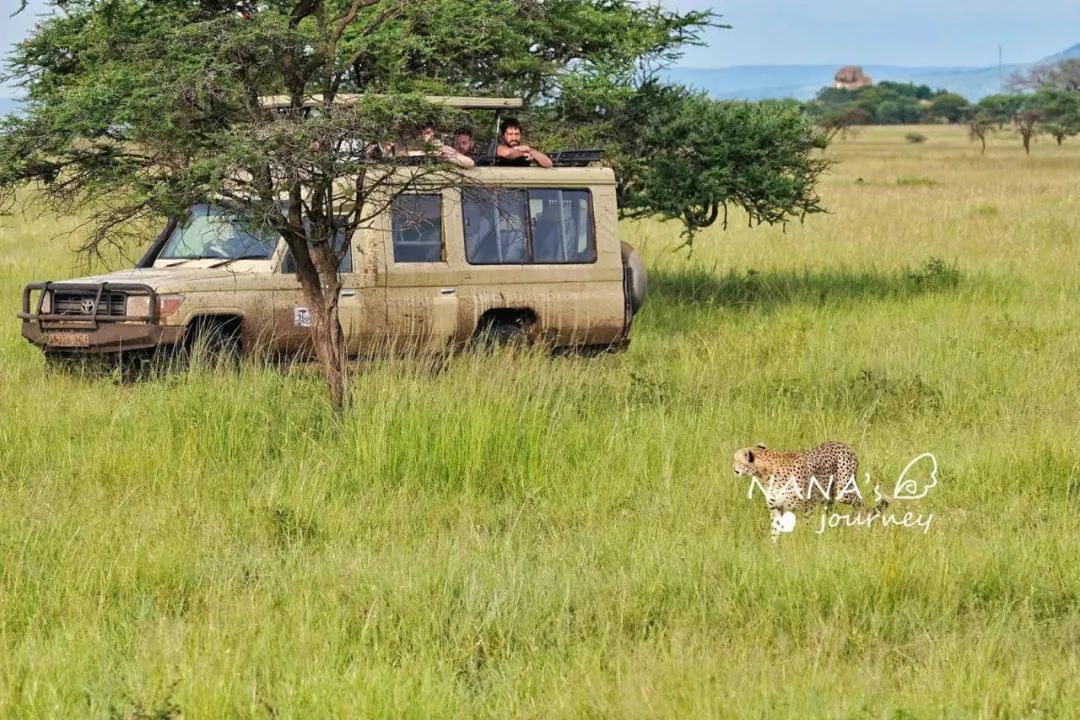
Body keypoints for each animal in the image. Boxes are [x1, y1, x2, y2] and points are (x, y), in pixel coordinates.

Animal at [734, 442, 876, 544]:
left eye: (736, 460)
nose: (733, 469)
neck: (766, 472)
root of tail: (844, 445)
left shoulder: (808, 506)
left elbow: (805, 527)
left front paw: (804, 543)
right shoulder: (777, 508)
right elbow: (775, 531)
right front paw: (773, 550)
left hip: (844, 492)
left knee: (863, 506)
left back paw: (861, 528)